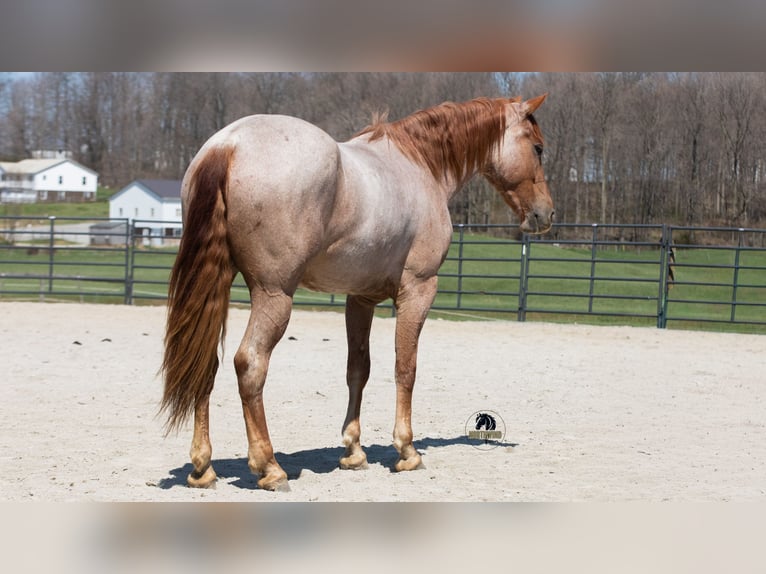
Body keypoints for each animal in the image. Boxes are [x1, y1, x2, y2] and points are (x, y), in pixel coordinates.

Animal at [160, 94, 554, 491]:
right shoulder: (418, 290)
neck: (420, 164)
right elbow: (405, 368)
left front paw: (353, 451)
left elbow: (358, 370)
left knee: (204, 364)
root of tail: (228, 144)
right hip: (274, 295)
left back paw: (203, 468)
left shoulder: (359, 299)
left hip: (218, 285)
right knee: (250, 364)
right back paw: (269, 467)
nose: (546, 214)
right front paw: (407, 451)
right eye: (537, 148)